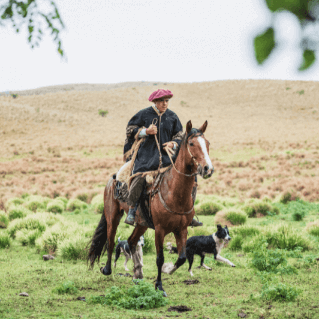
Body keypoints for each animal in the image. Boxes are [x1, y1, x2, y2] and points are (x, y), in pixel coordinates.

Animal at [87, 120, 215, 298]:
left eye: (208, 143)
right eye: (191, 143)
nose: (208, 169)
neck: (174, 192)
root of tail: (113, 179)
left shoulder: (181, 229)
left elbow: (182, 257)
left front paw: (168, 270)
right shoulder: (160, 230)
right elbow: (159, 258)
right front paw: (159, 286)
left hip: (142, 224)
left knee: (131, 241)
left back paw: (137, 276)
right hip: (112, 216)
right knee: (111, 241)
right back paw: (107, 269)